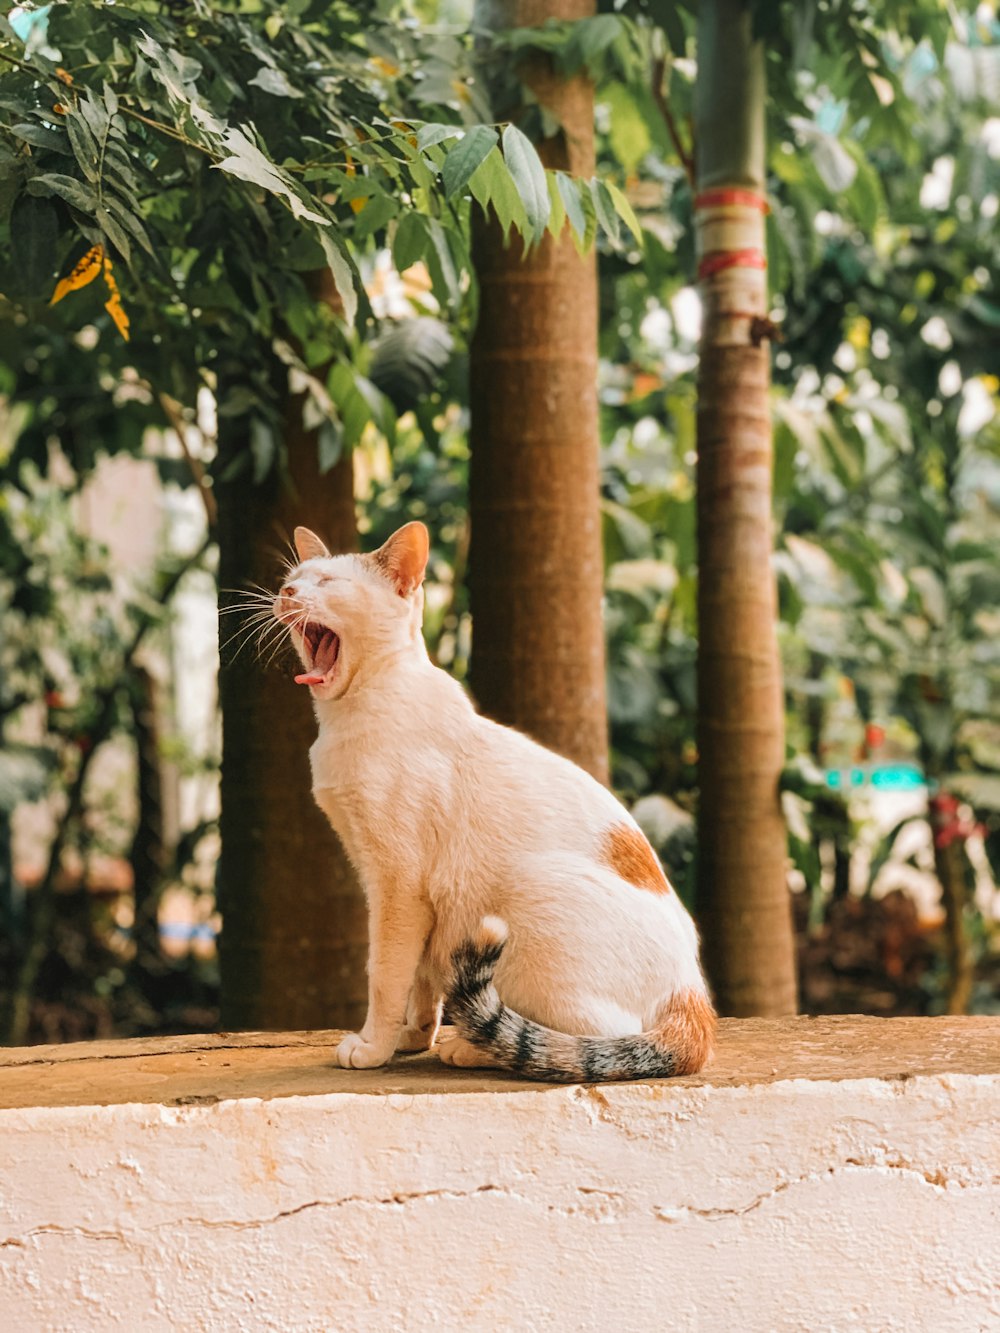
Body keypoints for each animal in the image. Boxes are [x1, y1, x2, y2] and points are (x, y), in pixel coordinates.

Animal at [270, 519, 714, 1082]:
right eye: (292, 579)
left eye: (327, 582)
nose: (286, 594)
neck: (353, 711)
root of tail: (693, 999)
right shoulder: (409, 897)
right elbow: (421, 982)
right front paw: (412, 1038)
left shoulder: (396, 886)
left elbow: (386, 974)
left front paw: (373, 1047)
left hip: (531, 891)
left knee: (596, 1043)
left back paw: (476, 1048)